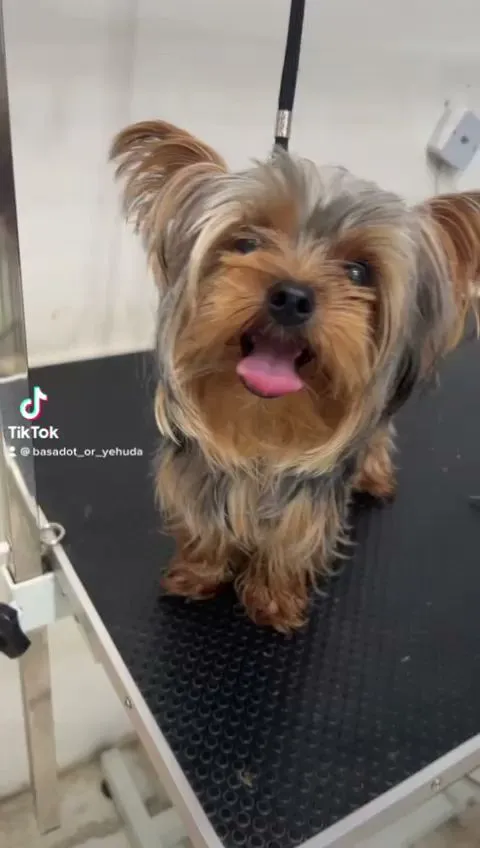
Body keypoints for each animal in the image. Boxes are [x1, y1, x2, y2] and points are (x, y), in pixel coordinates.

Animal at [110, 119, 479, 631]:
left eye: (358, 272)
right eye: (246, 243)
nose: (292, 296)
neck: (263, 426)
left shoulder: (307, 501)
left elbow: (290, 542)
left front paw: (273, 599)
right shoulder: (196, 475)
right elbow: (202, 524)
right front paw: (196, 573)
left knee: (378, 435)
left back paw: (375, 477)